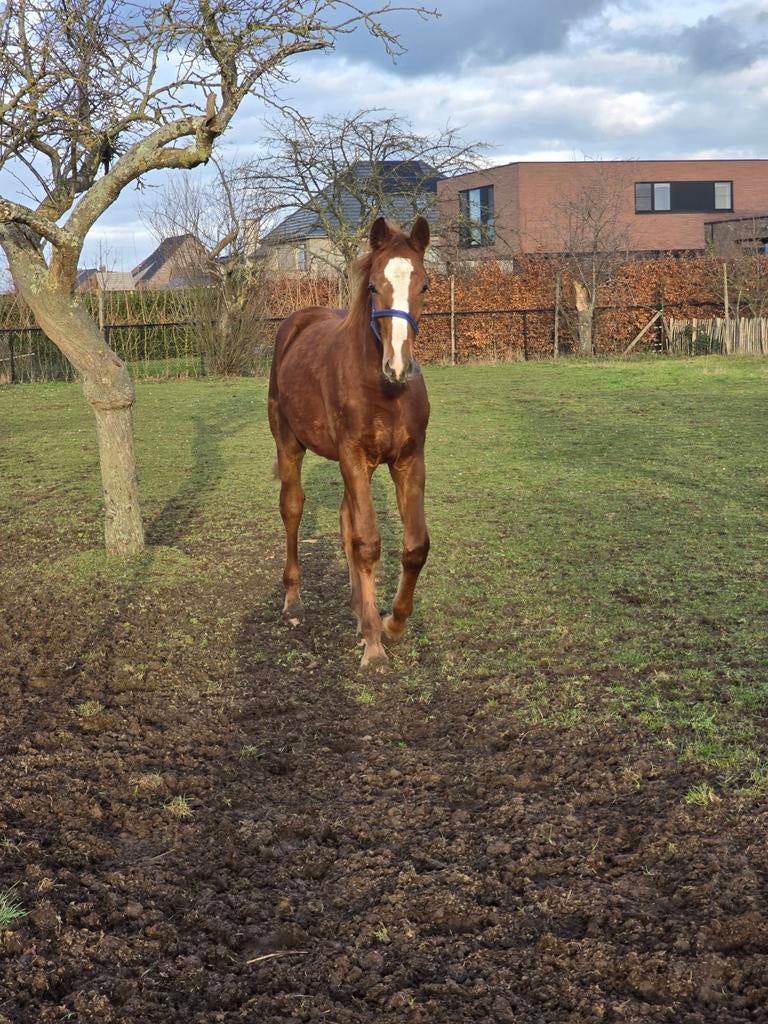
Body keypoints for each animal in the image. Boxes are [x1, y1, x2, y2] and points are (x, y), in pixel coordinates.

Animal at [268, 216, 432, 670]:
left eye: (424, 286)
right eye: (374, 286)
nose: (398, 367)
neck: (385, 392)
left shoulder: (408, 460)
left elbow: (414, 546)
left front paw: (392, 622)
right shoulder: (353, 457)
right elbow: (368, 544)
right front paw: (374, 646)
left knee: (345, 522)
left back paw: (361, 609)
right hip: (290, 445)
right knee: (293, 508)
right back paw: (293, 601)